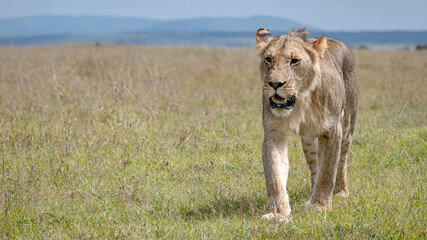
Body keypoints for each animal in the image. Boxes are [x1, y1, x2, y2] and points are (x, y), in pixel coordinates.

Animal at [258, 27, 362, 221]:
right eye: (268, 59)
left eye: (294, 61)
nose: (275, 83)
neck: (301, 100)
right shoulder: (274, 132)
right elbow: (275, 176)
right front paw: (279, 214)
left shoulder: (332, 131)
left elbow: (327, 172)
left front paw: (320, 206)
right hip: (309, 140)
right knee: (315, 168)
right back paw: (310, 196)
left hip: (348, 125)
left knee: (341, 160)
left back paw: (341, 192)